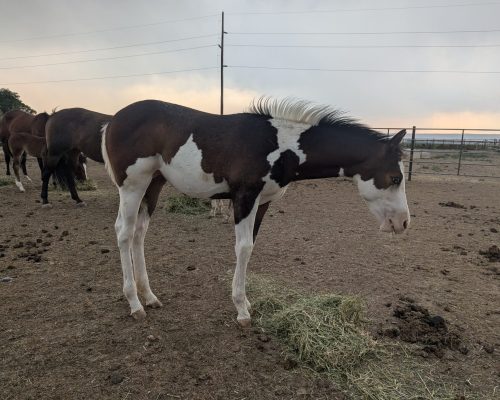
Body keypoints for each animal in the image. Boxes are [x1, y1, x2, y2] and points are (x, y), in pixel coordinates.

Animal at [102, 98, 410, 326]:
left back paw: (149, 296)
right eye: (395, 177)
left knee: (139, 233)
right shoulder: (245, 197)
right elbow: (243, 248)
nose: (403, 222)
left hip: (153, 183)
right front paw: (241, 310)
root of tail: (113, 120)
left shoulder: (262, 203)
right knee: (123, 232)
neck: (281, 146)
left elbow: (251, 245)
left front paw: (246, 302)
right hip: (132, 185)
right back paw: (134, 302)